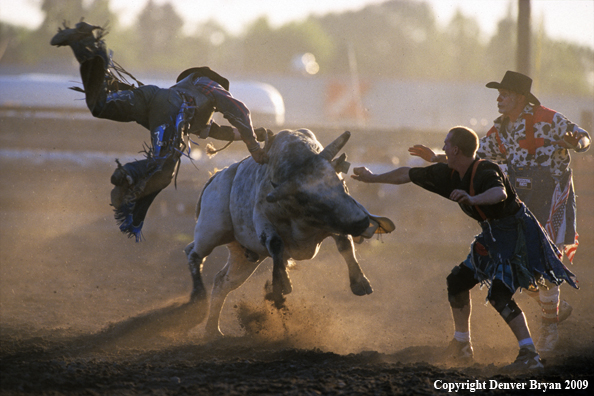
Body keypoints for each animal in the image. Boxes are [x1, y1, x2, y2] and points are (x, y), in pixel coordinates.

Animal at [183, 128, 390, 336]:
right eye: (306, 198)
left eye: (340, 182)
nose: (362, 222)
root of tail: (215, 177)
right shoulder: (262, 218)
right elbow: (276, 244)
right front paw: (281, 284)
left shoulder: (336, 221)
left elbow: (344, 244)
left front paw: (360, 283)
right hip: (211, 231)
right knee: (193, 254)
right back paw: (196, 301)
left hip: (244, 257)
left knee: (222, 282)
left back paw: (212, 330)